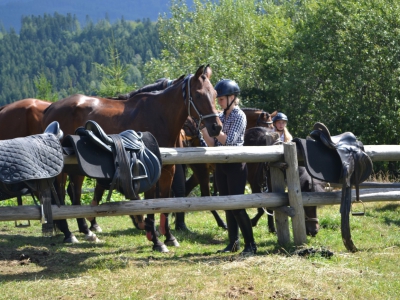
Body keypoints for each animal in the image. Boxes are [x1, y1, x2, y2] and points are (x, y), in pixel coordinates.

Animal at [42, 65, 222, 253]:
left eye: (215, 93)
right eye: (199, 94)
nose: (216, 127)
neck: (159, 116)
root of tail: (51, 108)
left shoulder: (168, 170)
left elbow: (165, 203)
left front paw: (169, 237)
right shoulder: (152, 172)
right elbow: (151, 204)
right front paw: (156, 240)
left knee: (74, 193)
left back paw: (86, 231)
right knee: (61, 195)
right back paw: (69, 233)